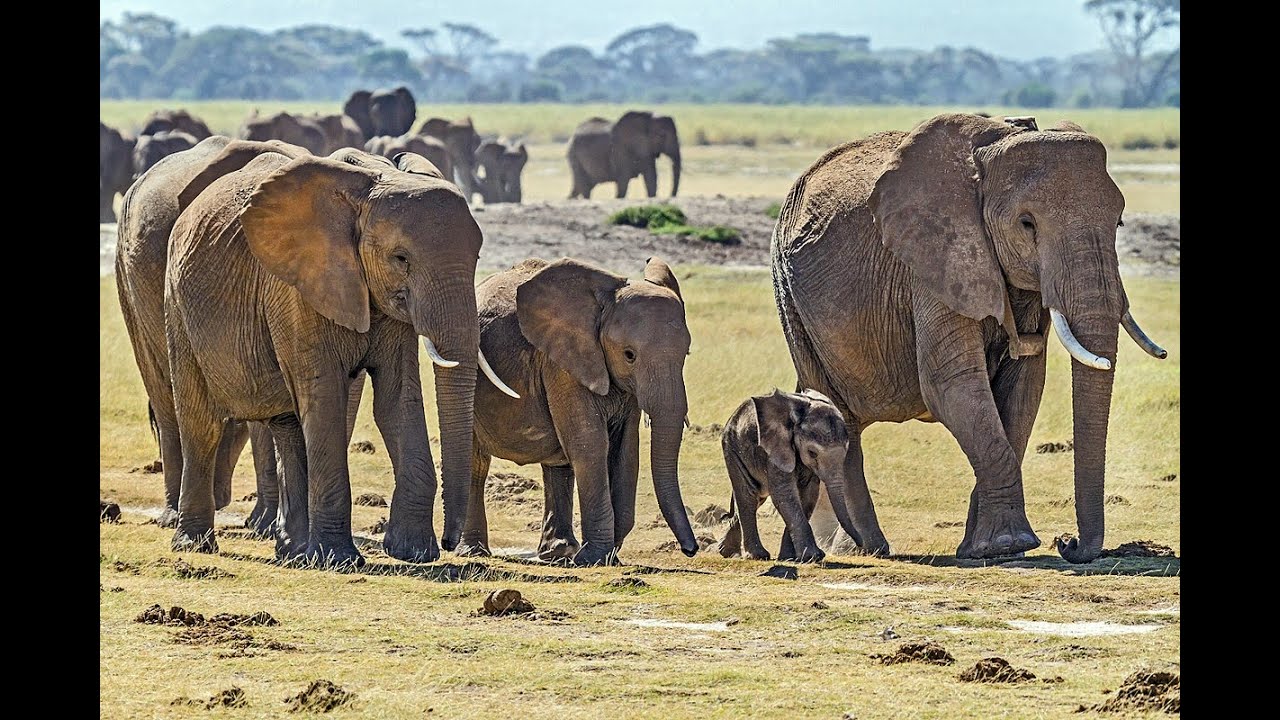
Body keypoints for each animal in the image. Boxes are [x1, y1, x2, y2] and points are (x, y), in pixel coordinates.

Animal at [161, 143, 507, 566]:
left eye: (477, 259)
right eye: (401, 259)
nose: (450, 542)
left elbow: (397, 400)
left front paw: (413, 552)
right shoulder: (296, 289)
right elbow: (325, 395)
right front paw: (338, 559)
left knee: (289, 426)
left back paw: (292, 552)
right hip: (177, 304)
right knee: (201, 422)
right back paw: (195, 544)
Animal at [461, 256, 699, 566]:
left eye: (686, 354)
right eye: (629, 355)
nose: (690, 550)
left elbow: (625, 450)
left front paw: (606, 556)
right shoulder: (562, 363)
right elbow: (589, 444)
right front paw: (593, 558)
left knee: (557, 462)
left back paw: (558, 553)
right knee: (476, 461)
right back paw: (474, 551)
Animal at [715, 389, 872, 563]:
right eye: (812, 453)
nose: (860, 544)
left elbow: (808, 495)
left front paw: (790, 558)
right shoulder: (776, 449)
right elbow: (784, 494)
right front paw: (814, 556)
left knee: (757, 498)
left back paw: (727, 552)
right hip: (732, 448)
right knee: (748, 495)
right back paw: (757, 555)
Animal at [770, 113, 1167, 563]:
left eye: (1119, 221)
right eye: (1026, 224)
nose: (1068, 543)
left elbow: (1023, 388)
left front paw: (985, 550)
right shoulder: (934, 258)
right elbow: (953, 386)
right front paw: (1010, 545)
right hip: (790, 296)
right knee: (838, 416)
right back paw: (870, 549)